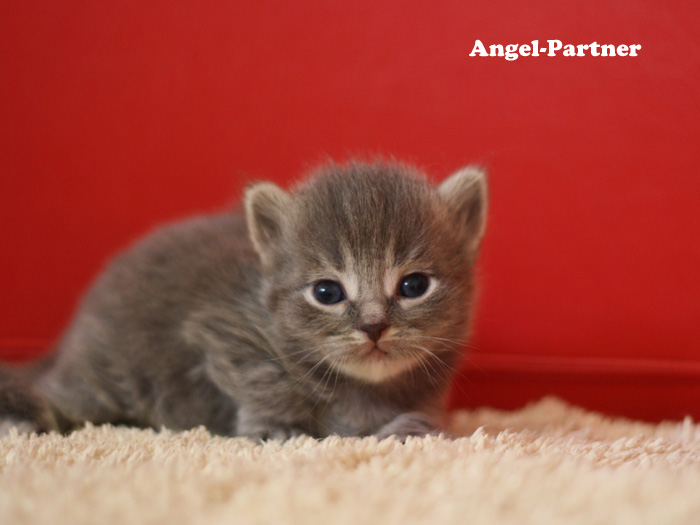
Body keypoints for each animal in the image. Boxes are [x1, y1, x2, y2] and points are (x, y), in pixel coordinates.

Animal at [0, 162, 490, 440]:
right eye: (327, 293)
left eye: (413, 286)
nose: (373, 326)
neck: (365, 388)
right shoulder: (221, 329)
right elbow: (262, 378)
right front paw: (279, 428)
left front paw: (413, 426)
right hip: (109, 375)